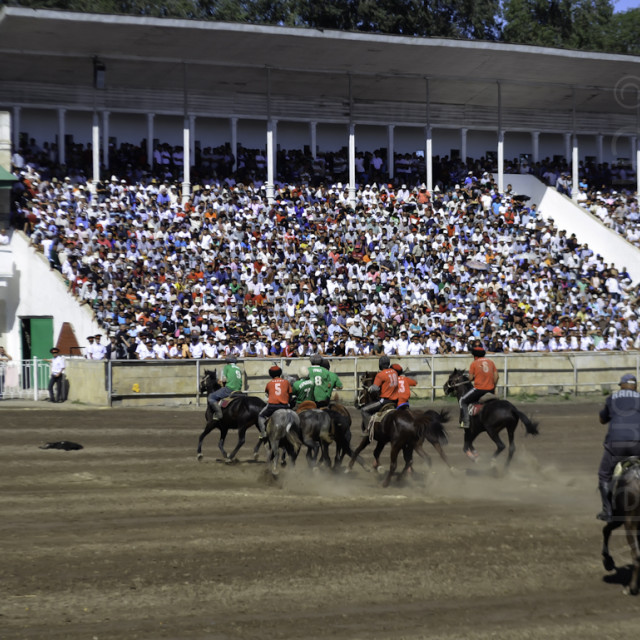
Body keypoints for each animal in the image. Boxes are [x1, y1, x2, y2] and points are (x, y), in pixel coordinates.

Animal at [604, 460, 640, 596]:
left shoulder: (619, 518)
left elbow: (606, 530)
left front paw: (608, 562)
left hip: (628, 524)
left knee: (636, 555)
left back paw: (632, 588)